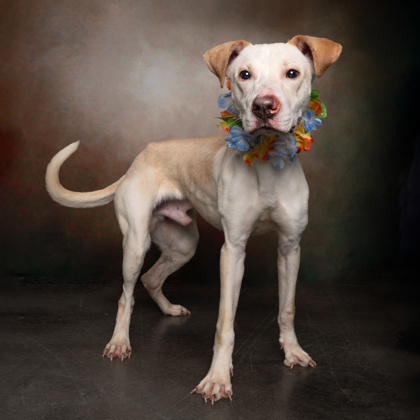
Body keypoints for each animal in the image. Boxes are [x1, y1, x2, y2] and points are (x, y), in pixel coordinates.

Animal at [45, 35, 342, 403]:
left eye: (292, 73)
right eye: (244, 74)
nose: (263, 107)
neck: (267, 161)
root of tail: (138, 159)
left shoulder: (290, 248)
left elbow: (287, 308)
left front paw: (293, 352)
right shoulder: (233, 251)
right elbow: (225, 322)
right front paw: (217, 378)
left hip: (183, 245)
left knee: (151, 279)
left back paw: (169, 310)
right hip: (136, 243)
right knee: (127, 294)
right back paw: (119, 342)